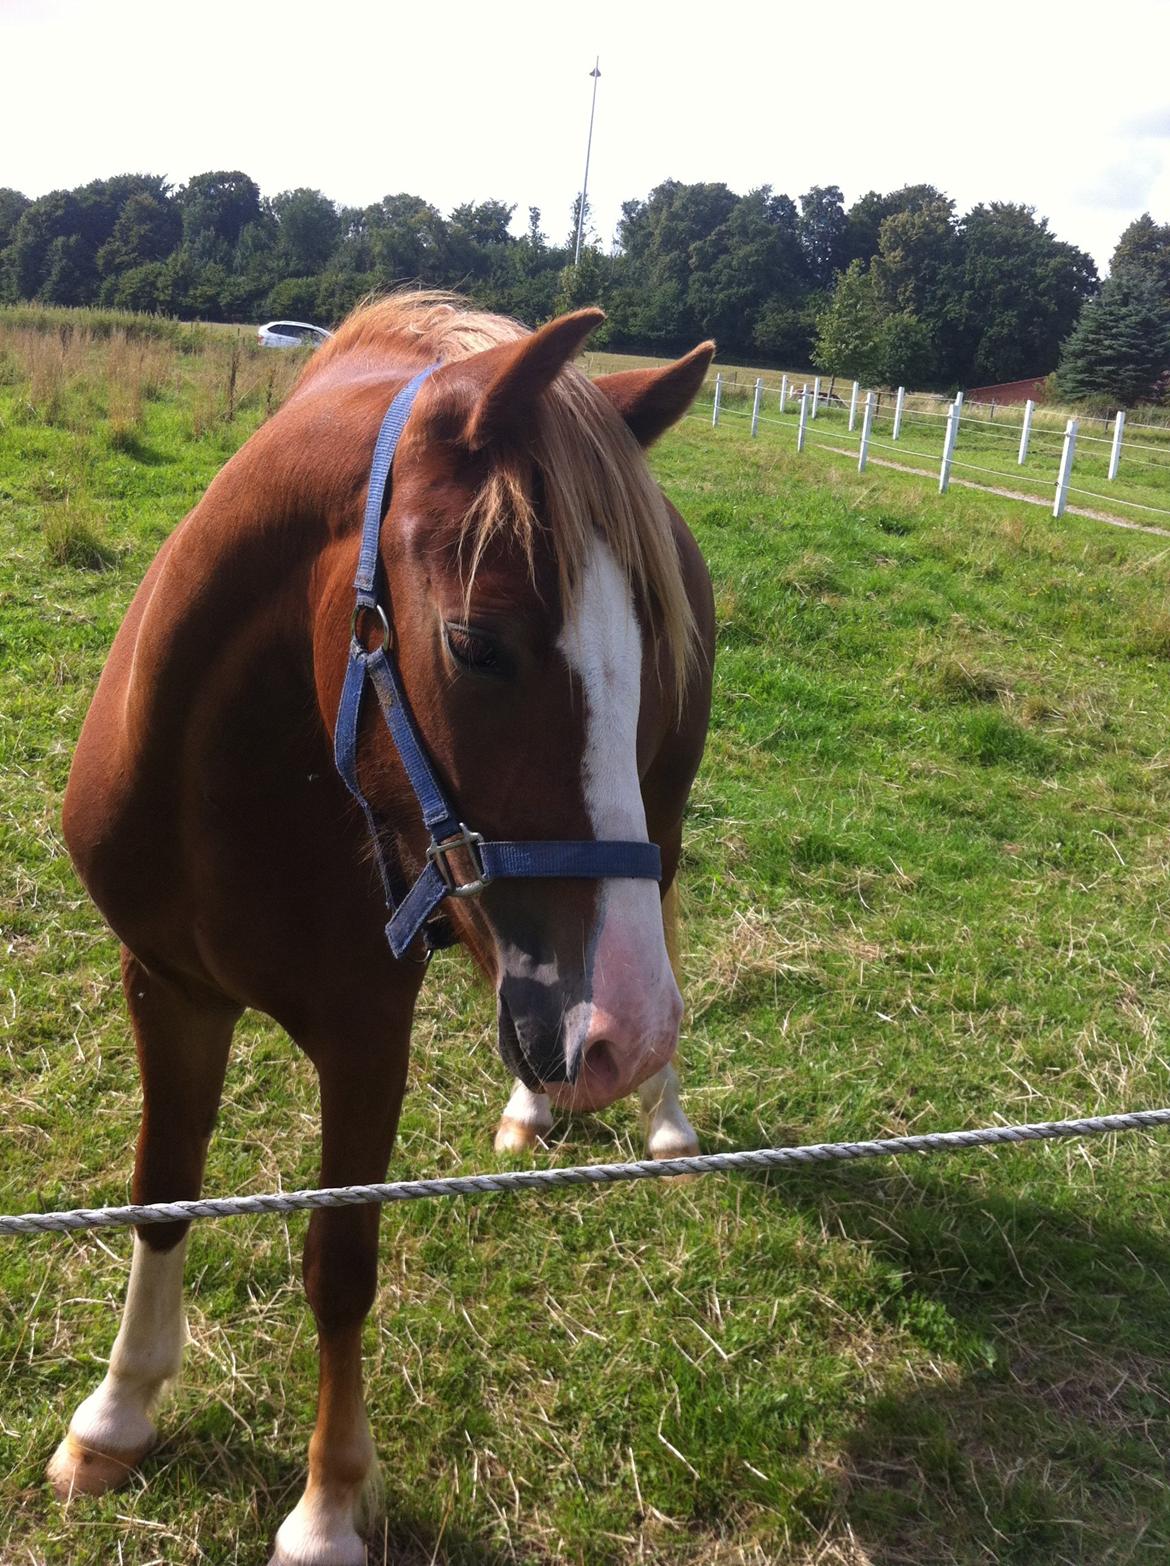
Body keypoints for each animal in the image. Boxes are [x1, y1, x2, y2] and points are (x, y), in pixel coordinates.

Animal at [47, 295, 714, 1566]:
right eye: (476, 646)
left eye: (644, 647)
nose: (622, 1038)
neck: (233, 775)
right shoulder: (164, 985)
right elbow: (162, 1189)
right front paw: (115, 1415)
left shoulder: (366, 1039)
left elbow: (339, 1264)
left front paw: (327, 1508)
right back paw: (541, 1103)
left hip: (660, 830)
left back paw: (656, 1113)